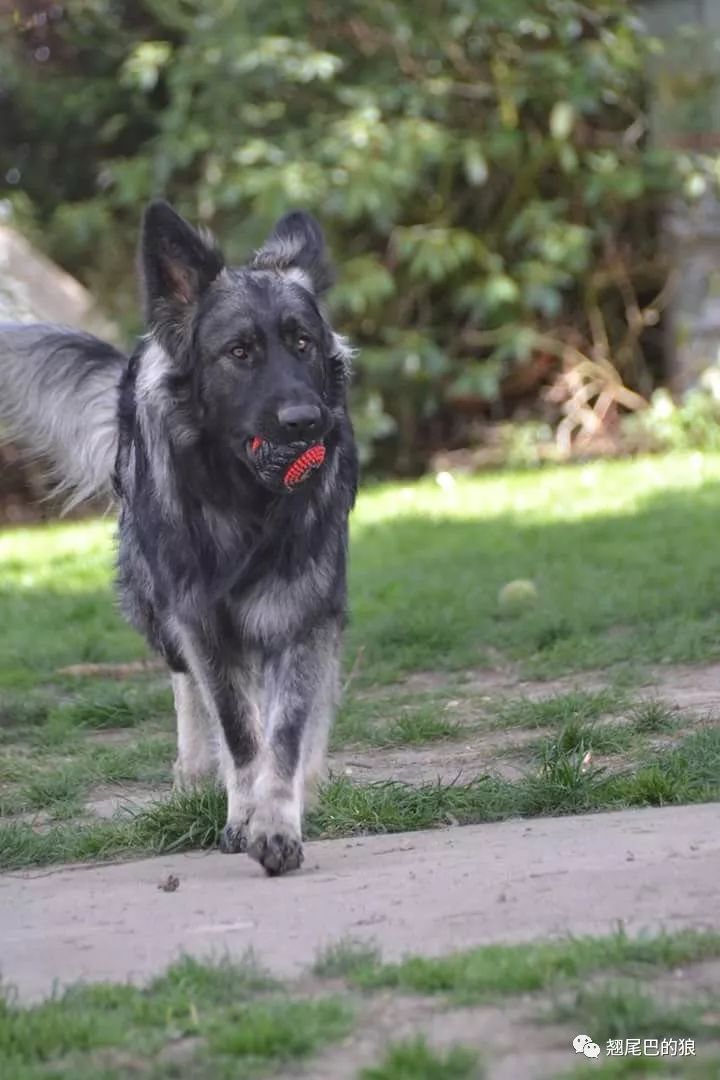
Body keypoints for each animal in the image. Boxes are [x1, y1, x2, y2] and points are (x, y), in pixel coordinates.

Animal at [0, 204, 360, 876]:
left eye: (303, 342)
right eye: (239, 352)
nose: (307, 422)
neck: (245, 501)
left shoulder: (298, 609)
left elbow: (284, 730)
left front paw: (279, 819)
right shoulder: (199, 617)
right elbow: (239, 729)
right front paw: (245, 815)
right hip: (152, 604)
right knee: (188, 684)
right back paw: (197, 772)